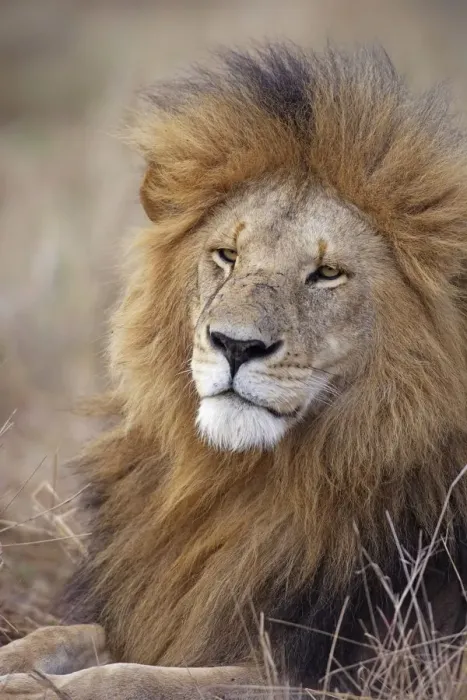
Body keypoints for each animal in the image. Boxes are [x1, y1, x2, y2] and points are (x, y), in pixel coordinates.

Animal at [2, 44, 467, 699]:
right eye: (227, 255)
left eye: (327, 274)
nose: (235, 345)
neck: (246, 483)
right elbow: (59, 638)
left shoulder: (354, 673)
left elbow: (132, 679)